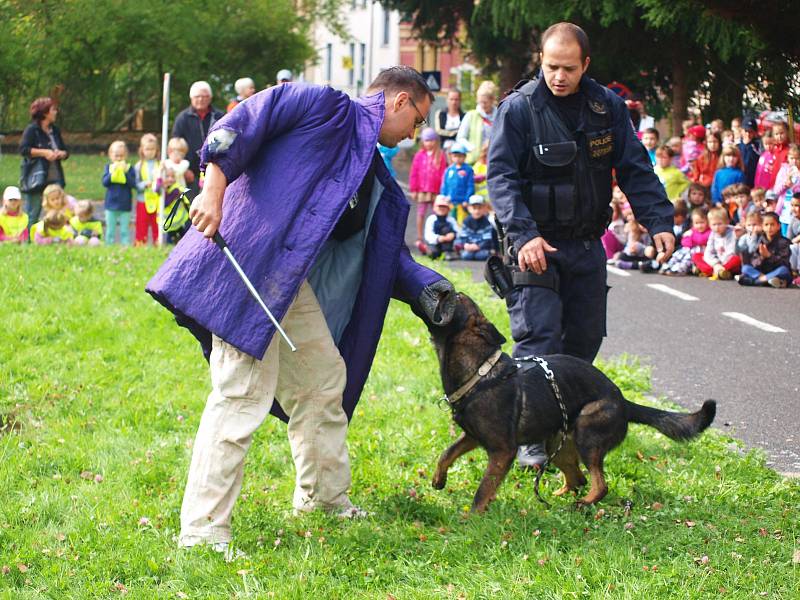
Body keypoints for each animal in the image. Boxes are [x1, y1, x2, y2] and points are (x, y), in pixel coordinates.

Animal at [418, 292, 720, 512]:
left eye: (456, 297)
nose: (440, 287)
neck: (479, 373)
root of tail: (624, 401)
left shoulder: (502, 451)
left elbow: (483, 490)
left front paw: (472, 519)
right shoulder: (472, 437)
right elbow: (446, 453)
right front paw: (438, 480)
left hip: (587, 431)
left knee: (599, 484)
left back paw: (582, 503)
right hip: (558, 444)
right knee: (579, 478)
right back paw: (558, 497)